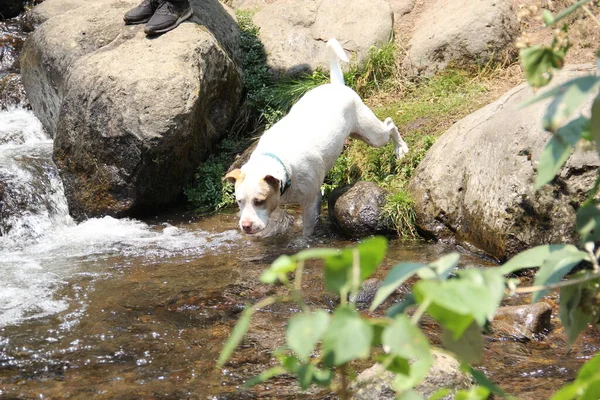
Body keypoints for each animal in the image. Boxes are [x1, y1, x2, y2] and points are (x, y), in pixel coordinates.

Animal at [225, 38, 408, 236]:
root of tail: (336, 85)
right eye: (239, 202)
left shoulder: (311, 202)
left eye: (259, 201)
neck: (282, 164)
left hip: (372, 135)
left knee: (390, 125)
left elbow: (307, 232)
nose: (245, 226)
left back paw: (401, 149)